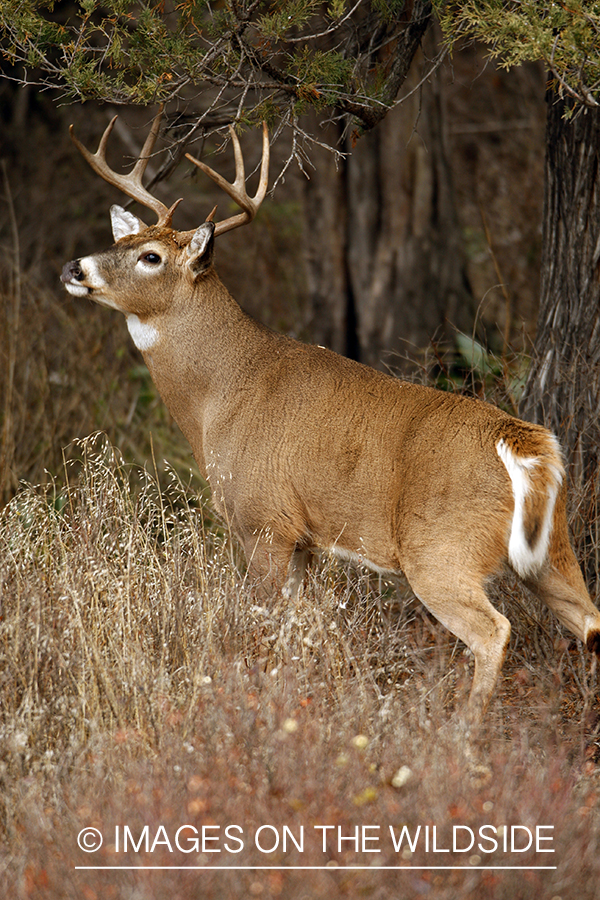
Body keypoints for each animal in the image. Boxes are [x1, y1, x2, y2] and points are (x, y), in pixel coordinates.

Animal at [62, 107, 600, 732]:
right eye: (122, 238)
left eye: (150, 256)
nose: (75, 266)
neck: (219, 394)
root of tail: (524, 442)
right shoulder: (305, 540)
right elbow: (298, 630)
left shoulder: (263, 519)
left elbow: (263, 627)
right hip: (552, 547)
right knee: (590, 621)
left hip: (440, 549)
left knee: (493, 633)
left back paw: (461, 735)